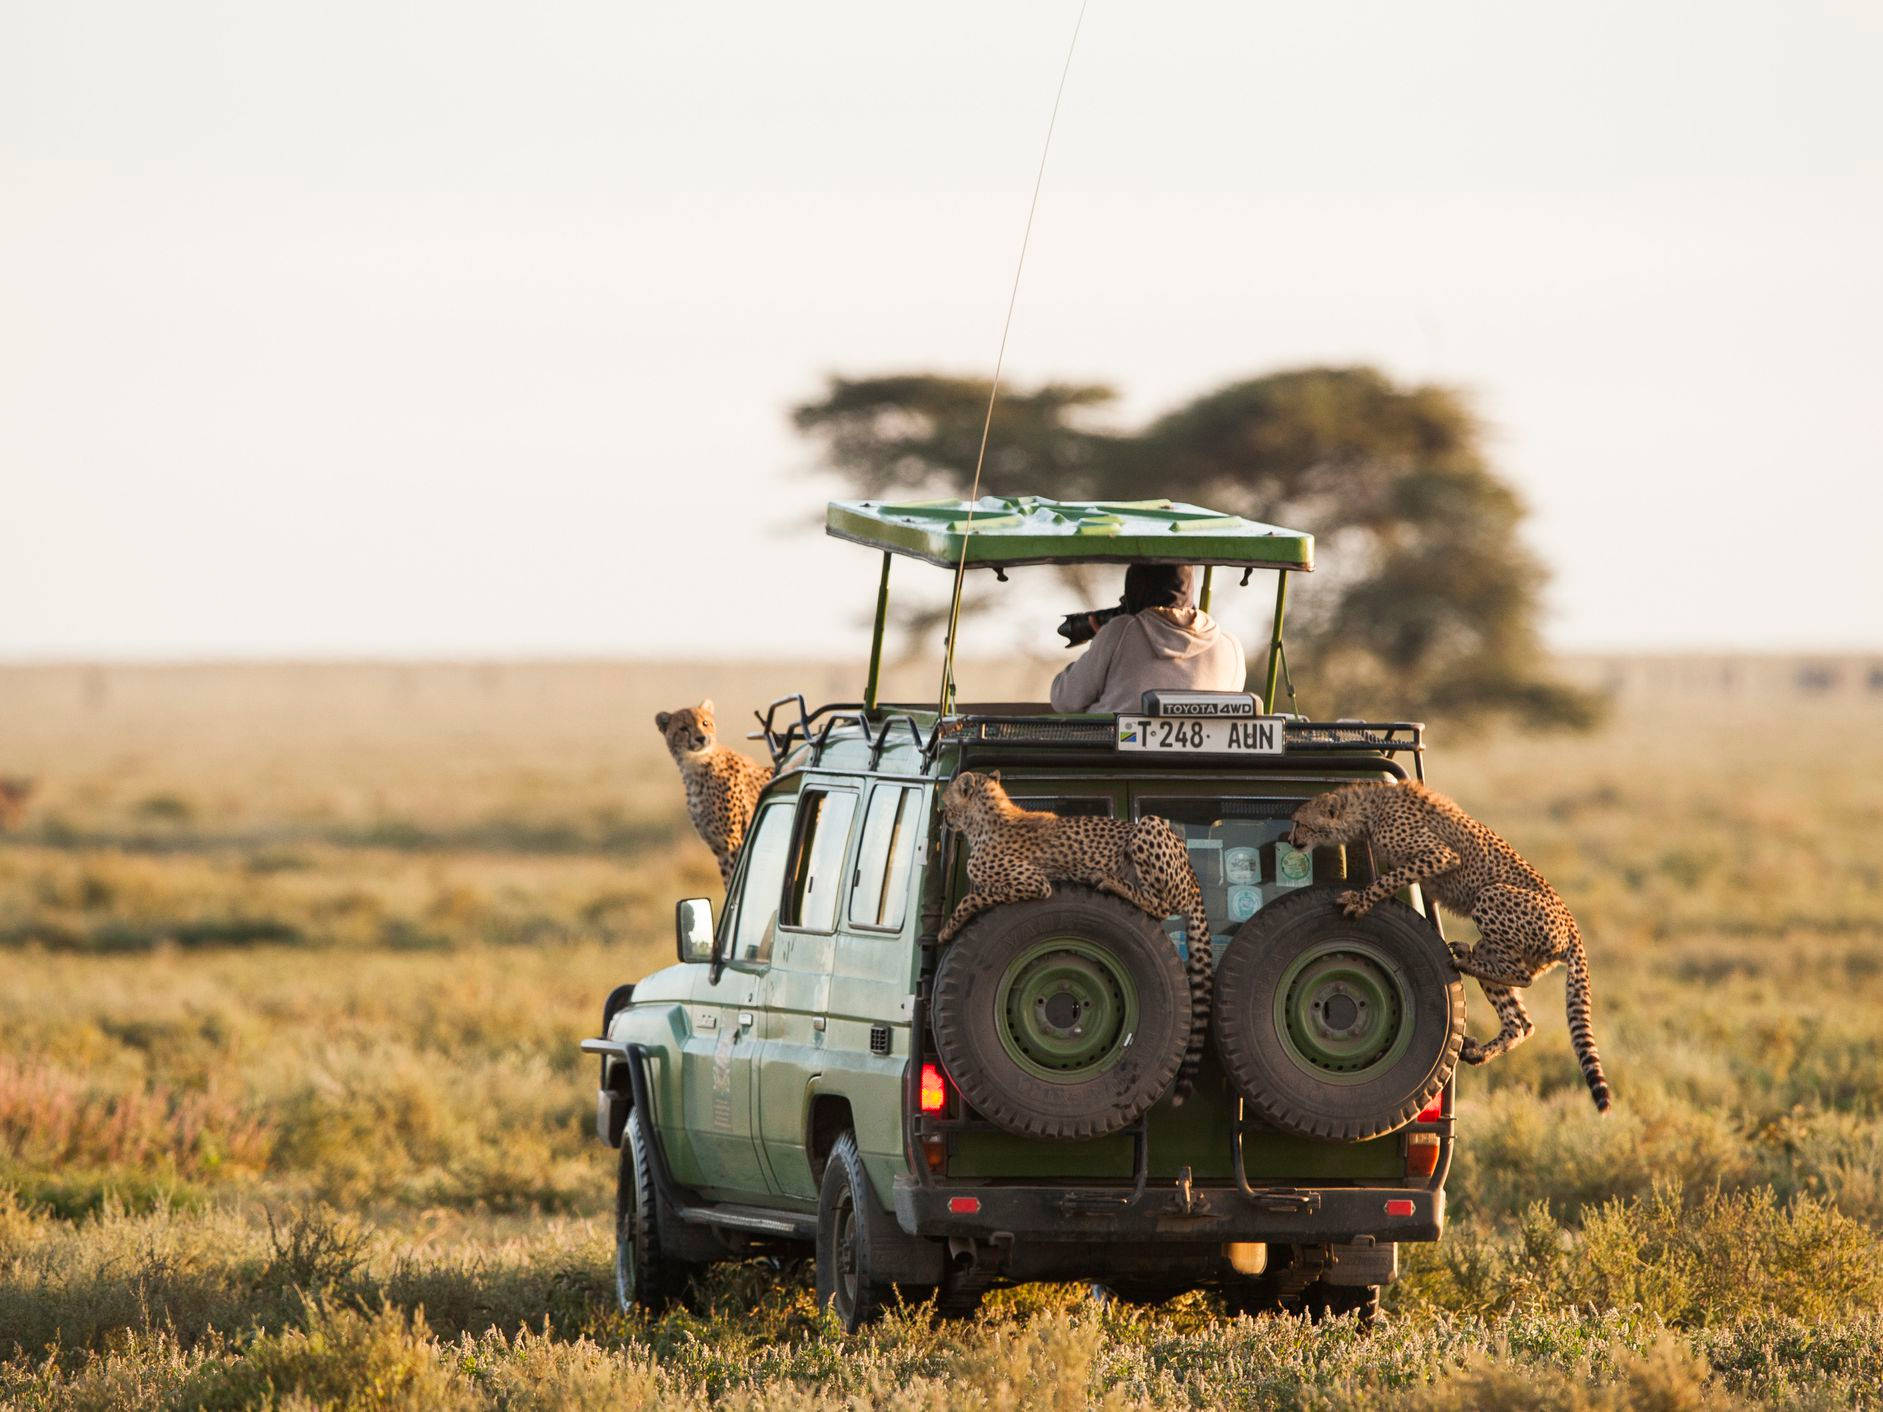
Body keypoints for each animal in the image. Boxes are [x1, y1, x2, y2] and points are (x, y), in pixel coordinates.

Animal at [659, 704, 775, 888]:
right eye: (683, 728)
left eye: (705, 723)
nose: (701, 738)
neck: (695, 767)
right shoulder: (719, 847)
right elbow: (728, 881)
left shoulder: (733, 842)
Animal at [933, 775, 1212, 1107]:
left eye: (947, 801)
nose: (944, 818)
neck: (987, 817)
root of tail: (1193, 875)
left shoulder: (1035, 883)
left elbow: (975, 896)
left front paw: (948, 928)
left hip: (1150, 827)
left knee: (1161, 905)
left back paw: (1110, 881)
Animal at [1295, 779, 1619, 1114]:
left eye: (1300, 823)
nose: (1292, 841)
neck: (1369, 809)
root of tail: (1573, 927)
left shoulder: (1441, 855)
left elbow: (1391, 878)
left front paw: (1359, 901)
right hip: (1497, 951)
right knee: (1521, 1022)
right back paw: (1477, 1047)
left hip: (1491, 896)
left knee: (1521, 976)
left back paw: (1463, 960)